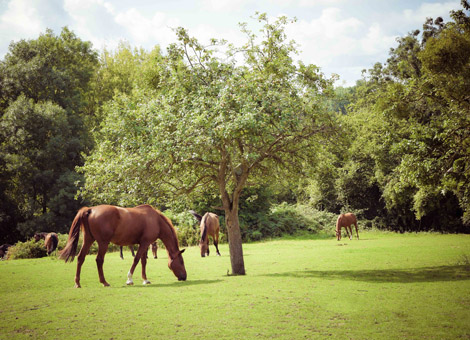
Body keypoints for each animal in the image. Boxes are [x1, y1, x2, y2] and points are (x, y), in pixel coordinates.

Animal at [57, 203, 185, 288]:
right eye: (182, 262)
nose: (184, 277)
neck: (155, 219)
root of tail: (90, 210)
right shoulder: (144, 244)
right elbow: (136, 260)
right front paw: (129, 279)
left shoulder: (144, 244)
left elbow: (143, 261)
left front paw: (145, 280)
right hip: (103, 243)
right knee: (99, 260)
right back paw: (104, 282)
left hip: (88, 240)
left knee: (80, 258)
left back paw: (77, 283)